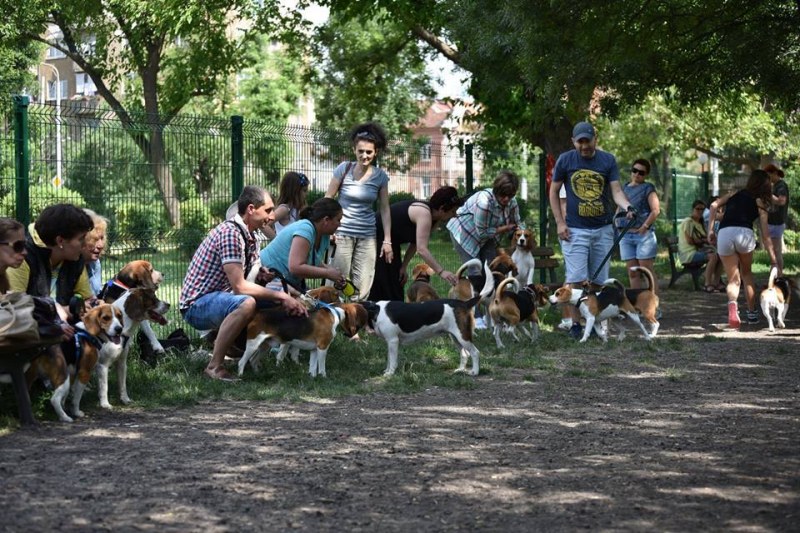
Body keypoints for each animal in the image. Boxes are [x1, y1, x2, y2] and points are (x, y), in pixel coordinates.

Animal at [234, 302, 366, 376]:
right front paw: (323, 377)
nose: (354, 334)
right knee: (242, 362)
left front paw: (312, 377)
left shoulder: (314, 350)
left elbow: (312, 367)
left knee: (253, 360)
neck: (335, 313)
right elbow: (322, 367)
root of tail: (258, 313)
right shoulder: (322, 347)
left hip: (265, 346)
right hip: (253, 344)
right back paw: (240, 376)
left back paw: (258, 374)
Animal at [360, 260, 494, 376]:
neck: (376, 309)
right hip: (455, 337)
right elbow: (388, 360)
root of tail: (464, 303)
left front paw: (390, 374)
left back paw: (475, 372)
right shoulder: (389, 342)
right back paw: (460, 369)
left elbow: (392, 361)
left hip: (463, 336)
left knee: (475, 353)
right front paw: (387, 370)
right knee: (465, 354)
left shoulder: (393, 341)